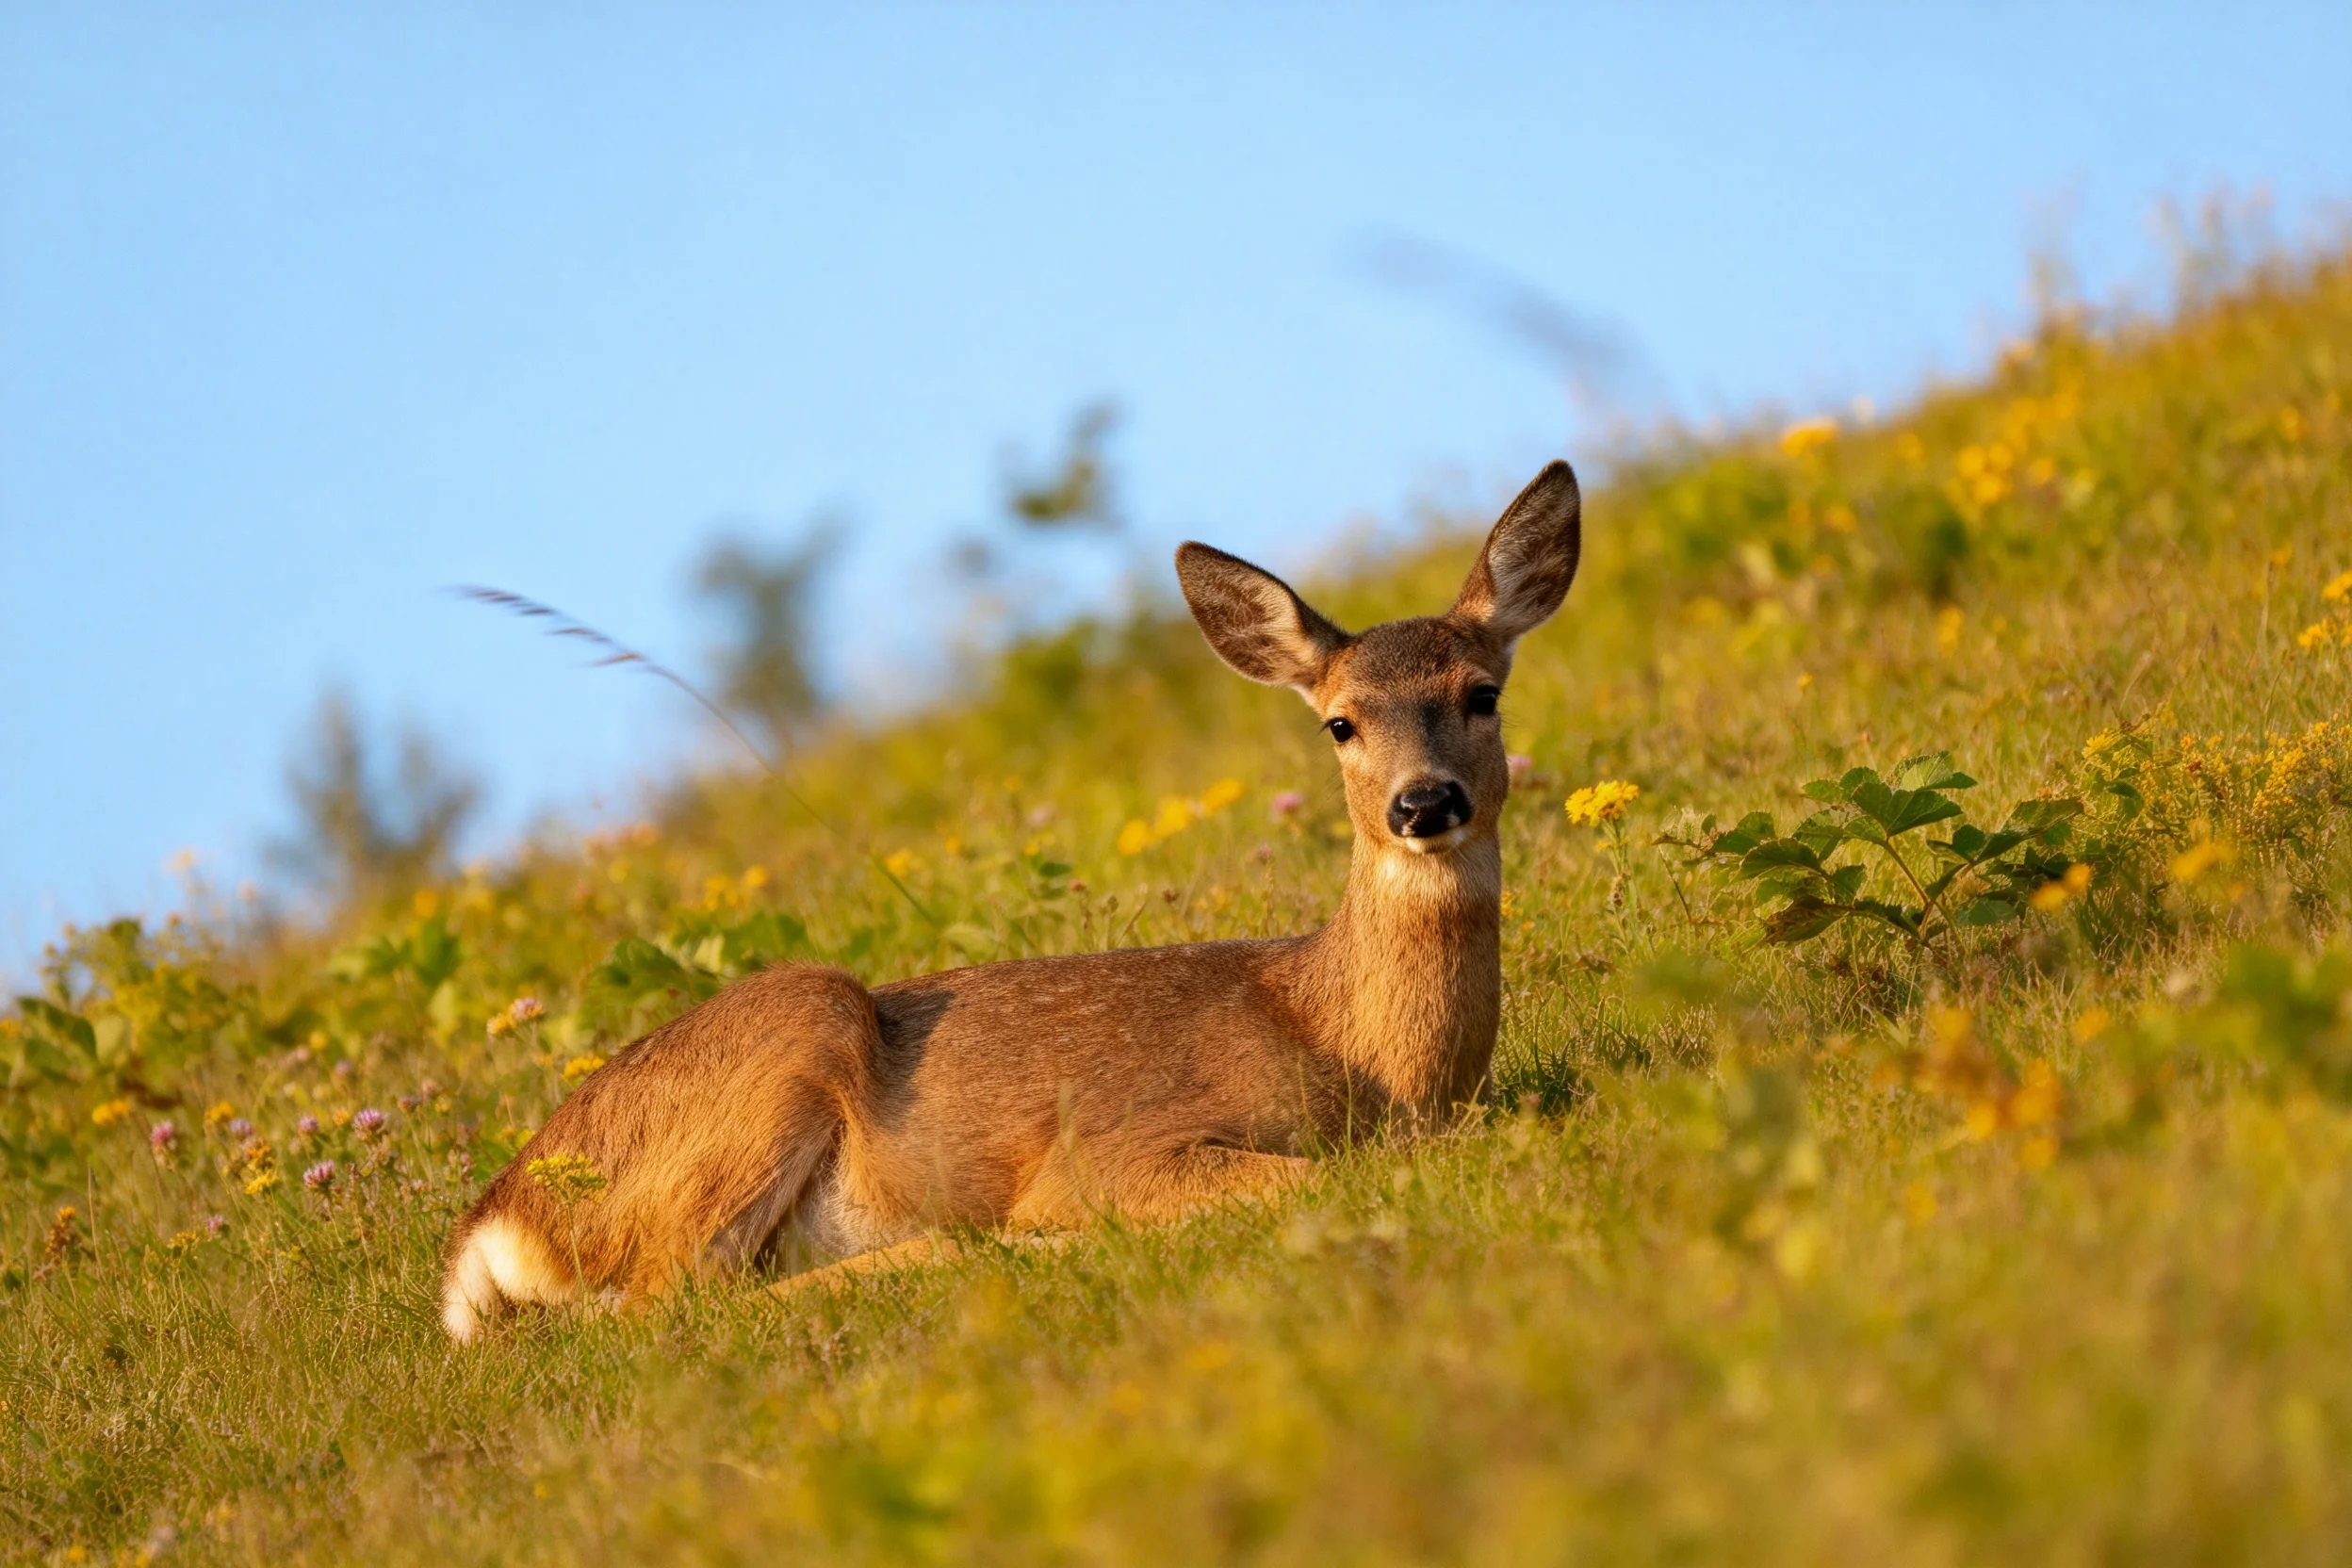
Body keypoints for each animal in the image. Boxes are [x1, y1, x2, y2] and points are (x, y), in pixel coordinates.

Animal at [440, 459, 1581, 1341]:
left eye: (1483, 693)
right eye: (1340, 722)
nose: (1423, 801)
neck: (1354, 1044)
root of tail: (492, 1229)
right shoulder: (1119, 1147)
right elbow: (1309, 1180)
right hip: (790, 1031)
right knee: (669, 1301)